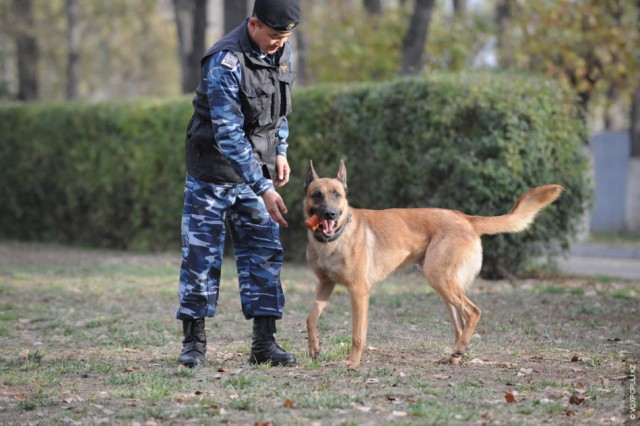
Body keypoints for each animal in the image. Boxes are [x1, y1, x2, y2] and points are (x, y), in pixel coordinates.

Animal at [304, 158, 560, 368]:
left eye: (337, 194)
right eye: (316, 194)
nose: (329, 214)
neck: (333, 240)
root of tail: (466, 219)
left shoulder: (359, 291)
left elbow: (357, 334)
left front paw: (353, 363)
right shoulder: (324, 285)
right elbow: (310, 318)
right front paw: (314, 348)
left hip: (440, 279)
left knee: (473, 312)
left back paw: (459, 349)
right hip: (445, 286)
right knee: (460, 323)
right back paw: (455, 355)